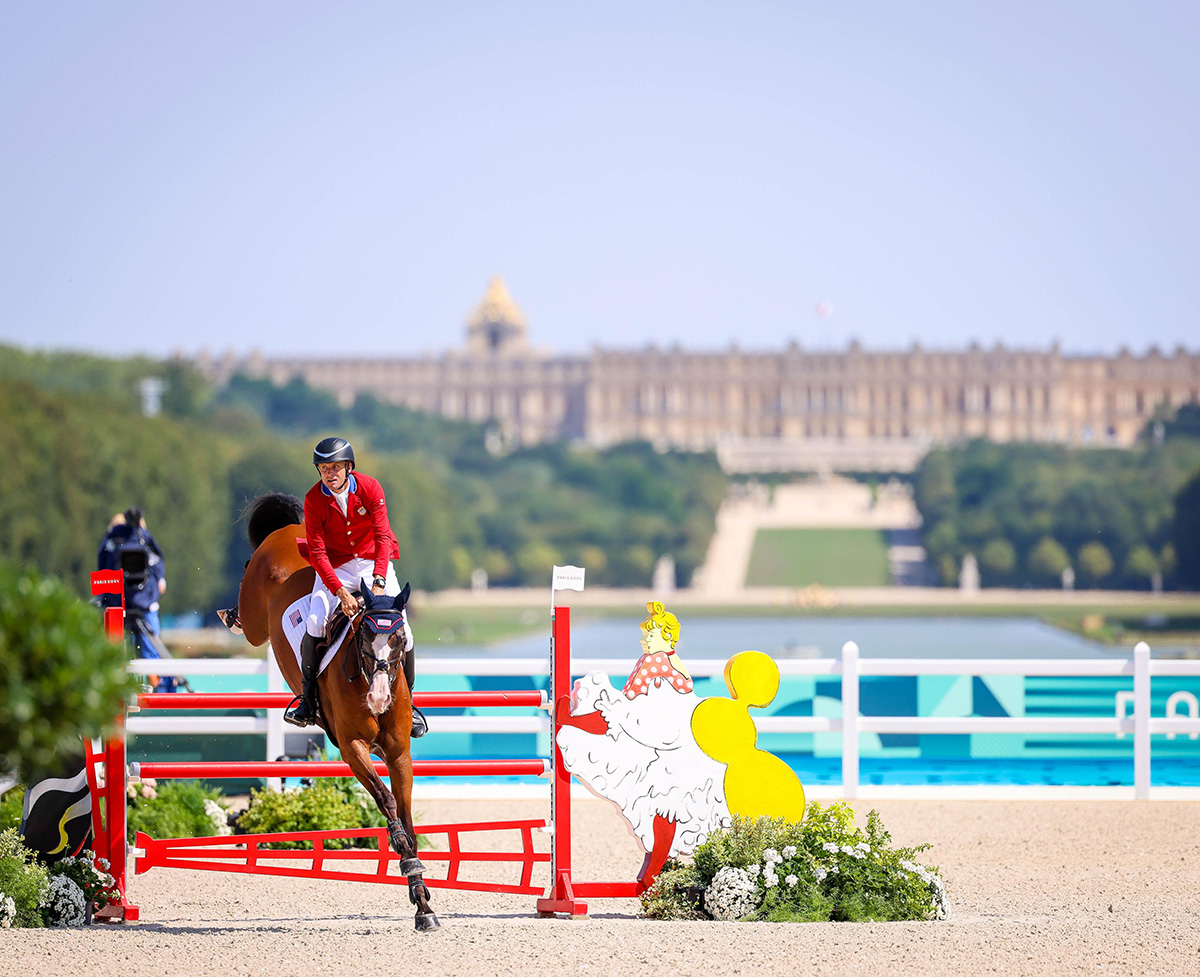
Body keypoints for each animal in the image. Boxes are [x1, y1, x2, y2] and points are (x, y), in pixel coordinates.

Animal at [234, 494, 441, 936]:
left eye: (400, 638)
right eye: (363, 635)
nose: (379, 698)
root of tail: (286, 532)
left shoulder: (398, 753)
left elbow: (407, 815)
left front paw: (422, 904)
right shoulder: (353, 747)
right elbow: (388, 803)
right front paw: (408, 867)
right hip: (257, 620)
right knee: (247, 619)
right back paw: (230, 614)